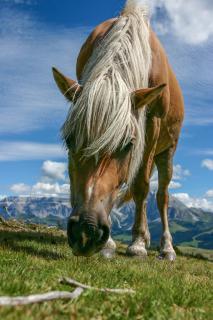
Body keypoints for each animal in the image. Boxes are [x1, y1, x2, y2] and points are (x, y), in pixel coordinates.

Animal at [52, 0, 184, 260]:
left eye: (128, 144)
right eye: (69, 140)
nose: (86, 231)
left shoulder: (151, 124)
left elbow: (141, 185)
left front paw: (137, 244)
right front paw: (111, 243)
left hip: (167, 152)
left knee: (162, 196)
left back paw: (165, 247)